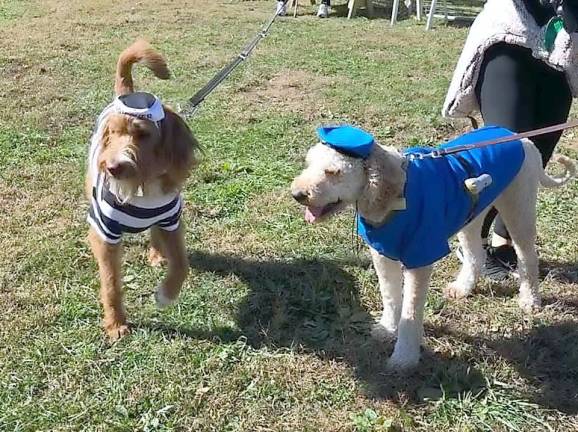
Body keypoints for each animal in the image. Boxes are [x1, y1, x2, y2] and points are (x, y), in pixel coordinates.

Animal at [85, 38, 198, 340]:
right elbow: (111, 283)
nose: (112, 167)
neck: (142, 187)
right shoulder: (106, 233)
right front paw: (116, 323)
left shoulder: (171, 221)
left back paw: (158, 254)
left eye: (143, 134)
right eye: (111, 133)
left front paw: (166, 295)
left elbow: (181, 264)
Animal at [290, 126, 572, 370]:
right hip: (472, 213)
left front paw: (404, 358)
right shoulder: (382, 254)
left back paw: (530, 300)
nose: (297, 194)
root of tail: (521, 139)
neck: (395, 195)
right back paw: (462, 288)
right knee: (476, 253)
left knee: (528, 257)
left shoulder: (420, 258)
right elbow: (390, 296)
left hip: (518, 208)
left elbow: (411, 311)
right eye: (309, 164)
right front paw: (387, 329)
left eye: (333, 172)